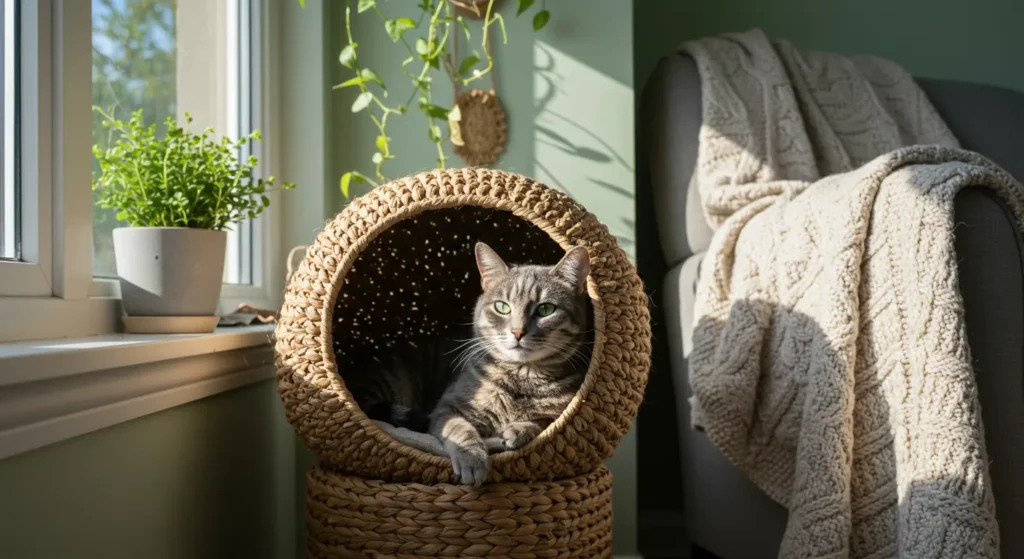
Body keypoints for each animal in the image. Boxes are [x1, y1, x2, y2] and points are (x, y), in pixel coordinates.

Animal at [344, 241, 589, 481]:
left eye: (546, 309)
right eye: (502, 307)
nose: (517, 332)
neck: (522, 378)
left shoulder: (560, 415)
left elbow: (543, 421)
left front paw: (519, 429)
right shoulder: (448, 408)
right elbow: (460, 429)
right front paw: (472, 459)